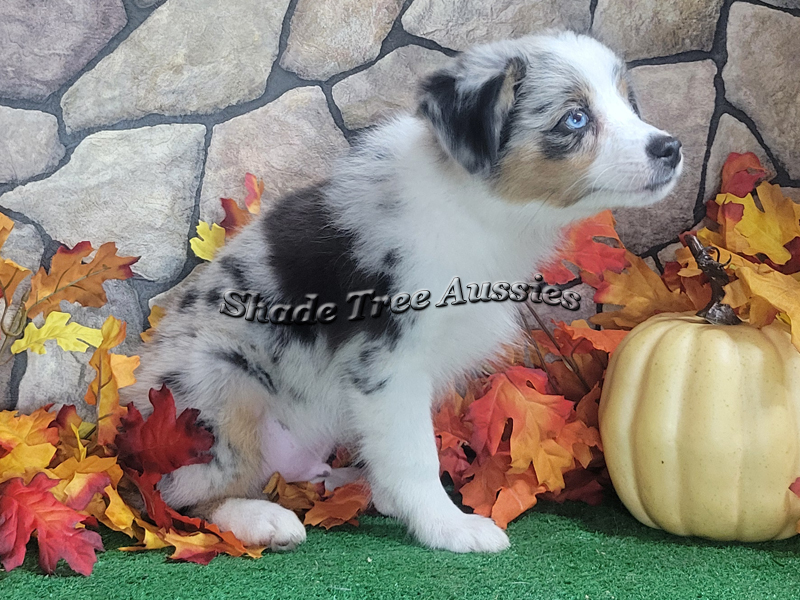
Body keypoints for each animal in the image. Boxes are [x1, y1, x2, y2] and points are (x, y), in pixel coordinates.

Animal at [125, 30, 680, 552]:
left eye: (629, 104)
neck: (476, 207)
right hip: (216, 390)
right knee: (182, 496)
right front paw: (449, 528)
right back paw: (264, 519)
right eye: (574, 119)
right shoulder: (389, 361)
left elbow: (398, 447)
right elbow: (415, 453)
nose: (671, 148)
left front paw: (405, 504)